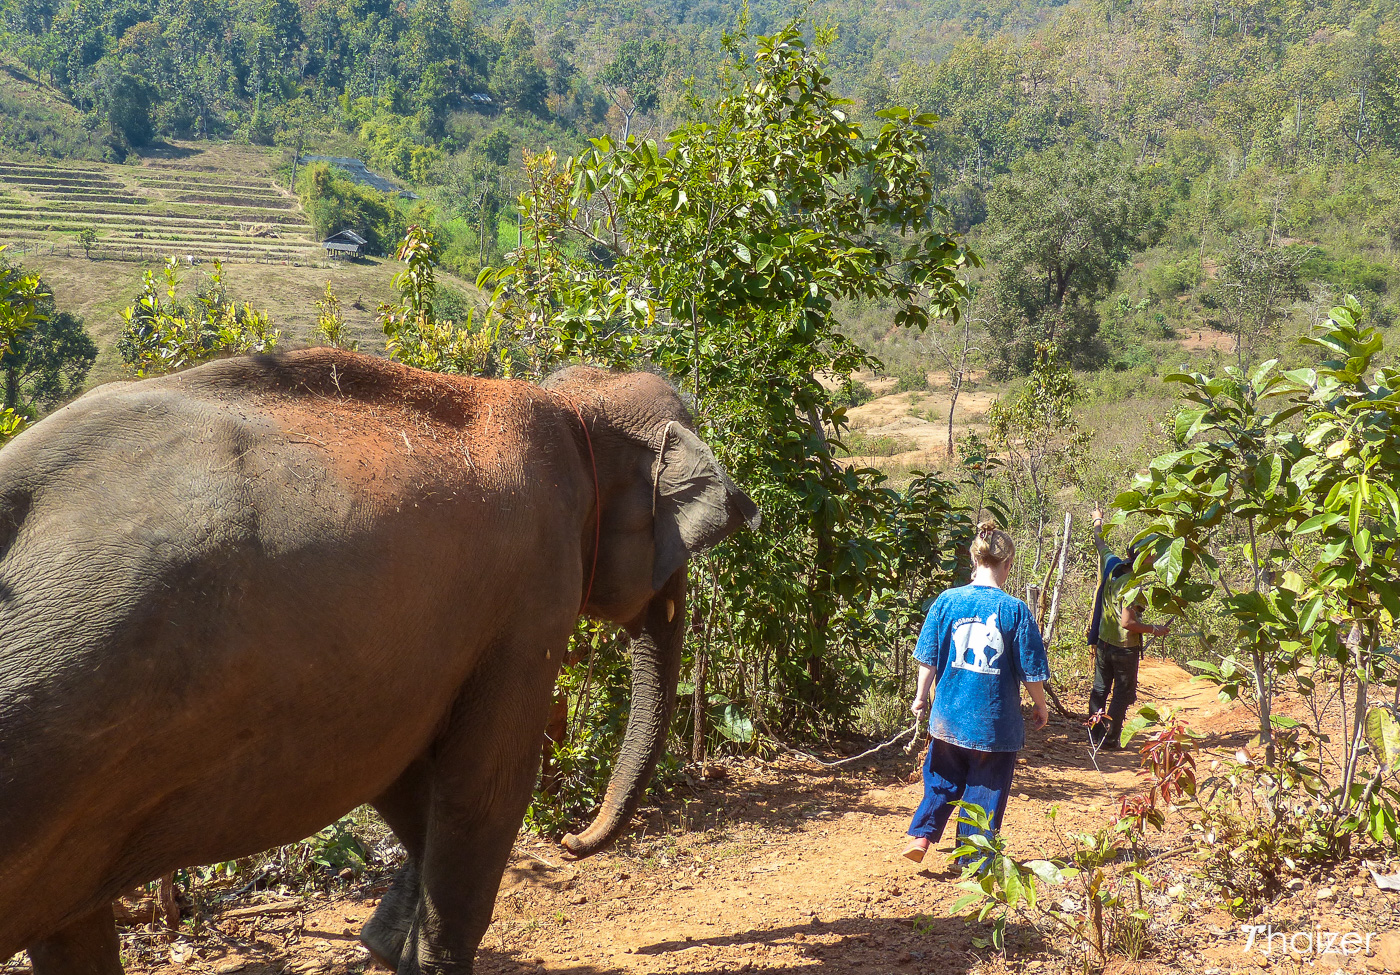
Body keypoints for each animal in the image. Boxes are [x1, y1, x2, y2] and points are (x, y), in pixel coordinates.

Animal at [0, 348, 758, 975]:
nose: (574, 840)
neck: (572, 407)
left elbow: (403, 770)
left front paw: (388, 944)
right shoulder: (532, 589)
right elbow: (484, 783)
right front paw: (427, 959)